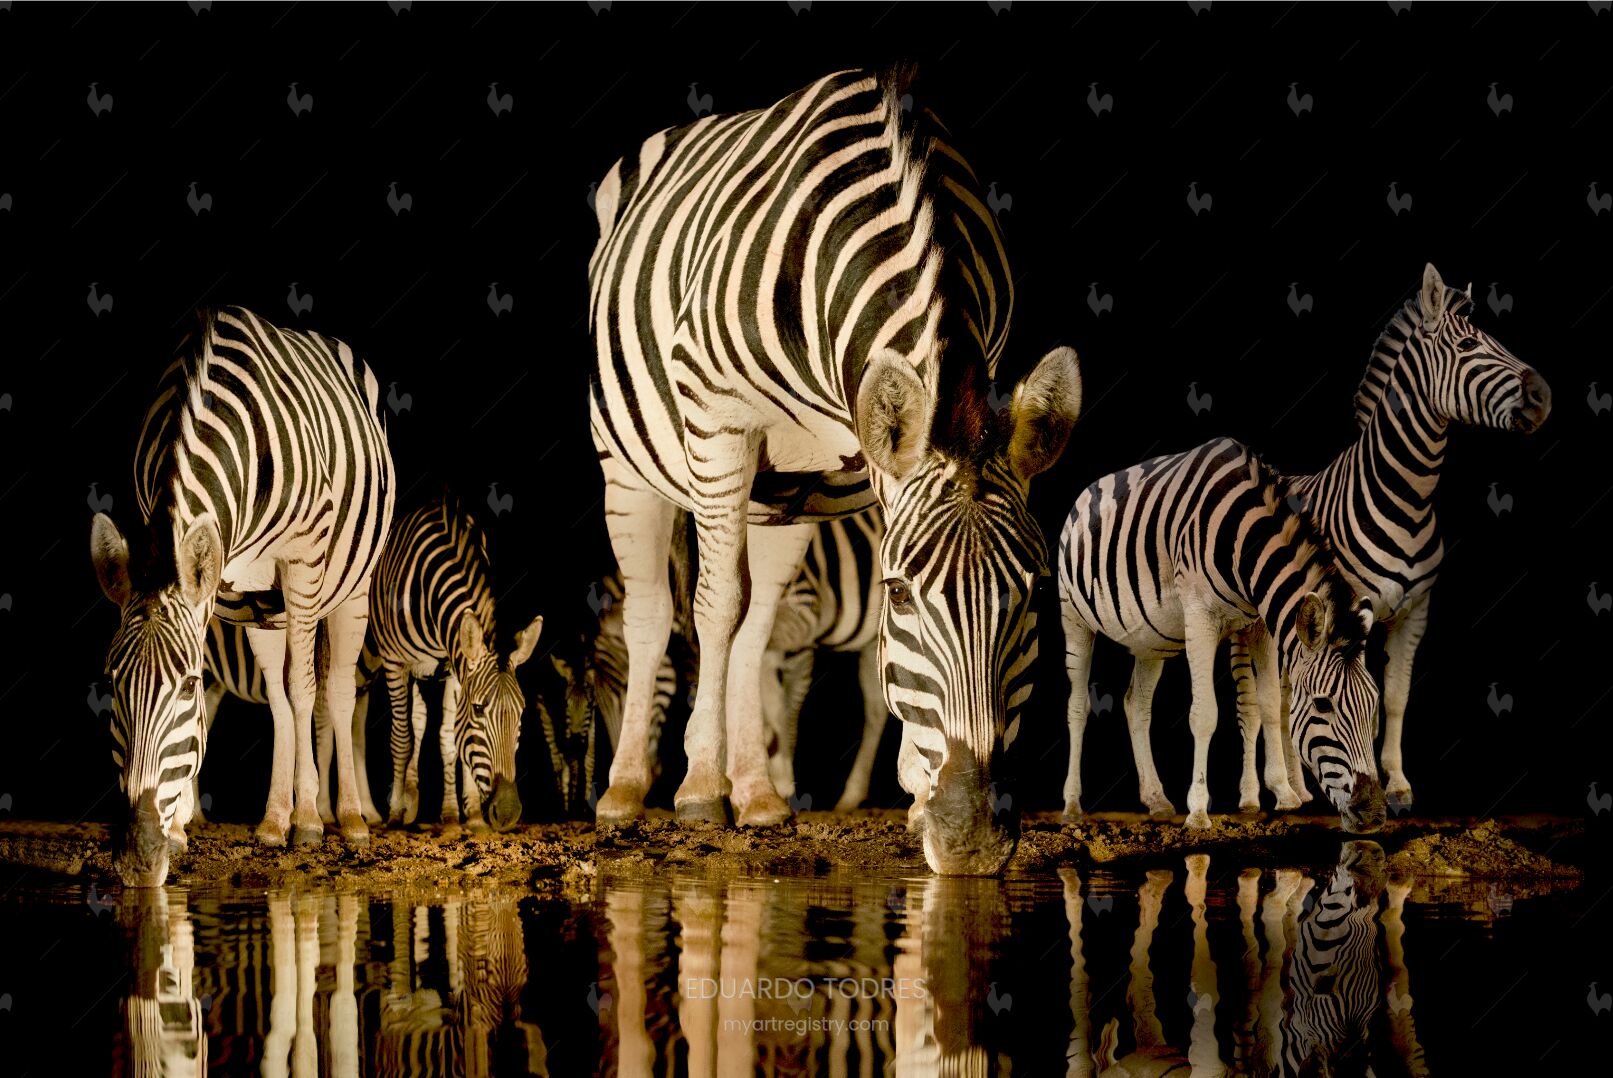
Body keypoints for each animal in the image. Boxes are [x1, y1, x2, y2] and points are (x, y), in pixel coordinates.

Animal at [90, 306, 395, 886]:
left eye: (187, 686)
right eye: (113, 682)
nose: (138, 858)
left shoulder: (302, 560)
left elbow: (306, 691)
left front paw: (310, 820)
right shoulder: (217, 581)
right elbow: (275, 698)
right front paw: (182, 827)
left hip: (349, 586)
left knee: (334, 690)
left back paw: (345, 817)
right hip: (262, 606)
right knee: (278, 695)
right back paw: (273, 820)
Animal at [371, 492, 542, 832]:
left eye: (522, 712)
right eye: (478, 709)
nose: (508, 814)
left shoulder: (453, 668)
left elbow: (449, 740)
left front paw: (461, 816)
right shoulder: (395, 663)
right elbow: (401, 738)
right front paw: (394, 814)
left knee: (420, 719)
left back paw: (414, 798)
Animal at [587, 66, 1081, 874]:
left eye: (1036, 591)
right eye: (901, 593)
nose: (973, 840)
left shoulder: (871, 458)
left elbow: (767, 628)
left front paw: (910, 792)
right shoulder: (720, 419)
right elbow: (712, 607)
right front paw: (699, 789)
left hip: (787, 493)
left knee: (758, 620)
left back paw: (758, 794)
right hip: (630, 464)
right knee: (659, 609)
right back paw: (631, 789)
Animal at [1058, 437, 1385, 832]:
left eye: (1374, 703)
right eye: (1324, 704)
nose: (1375, 813)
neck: (1245, 542)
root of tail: (1084, 492)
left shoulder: (1260, 625)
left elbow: (1270, 704)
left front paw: (1284, 793)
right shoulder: (1199, 616)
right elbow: (1204, 714)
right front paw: (1198, 810)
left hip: (1149, 640)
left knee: (1136, 705)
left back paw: (1156, 799)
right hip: (1074, 618)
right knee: (1077, 706)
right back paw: (1072, 804)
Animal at [1230, 263, 1550, 812]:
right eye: (1469, 346)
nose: (1544, 396)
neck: (1408, 498)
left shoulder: (1414, 611)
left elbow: (1395, 696)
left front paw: (1398, 785)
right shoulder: (1342, 610)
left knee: (1288, 693)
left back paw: (1298, 787)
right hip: (1249, 626)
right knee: (1256, 704)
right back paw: (1263, 795)